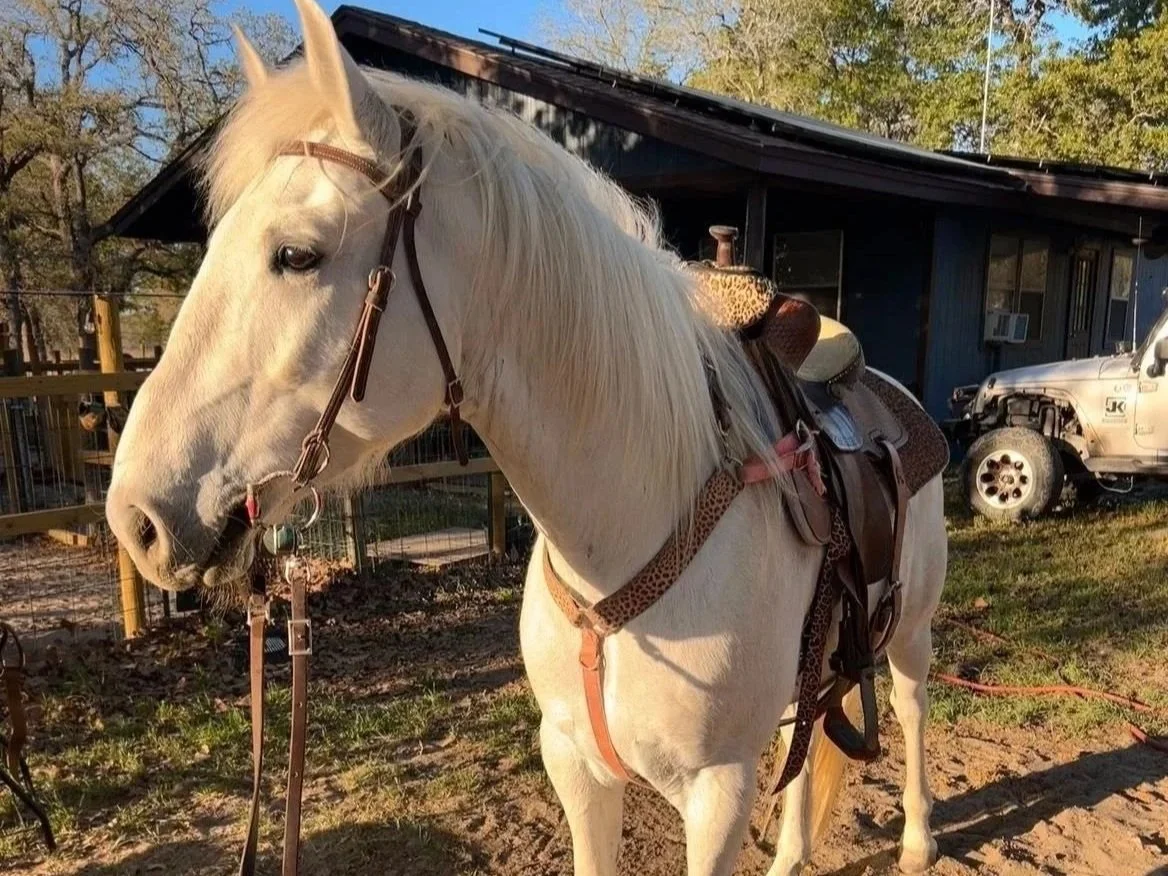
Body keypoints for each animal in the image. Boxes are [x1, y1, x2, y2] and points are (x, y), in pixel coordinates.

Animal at [105, 2, 947, 873]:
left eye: (296, 254)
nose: (137, 518)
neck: (629, 537)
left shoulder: (717, 794)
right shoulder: (574, 764)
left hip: (911, 631)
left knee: (911, 705)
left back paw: (918, 838)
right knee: (807, 735)